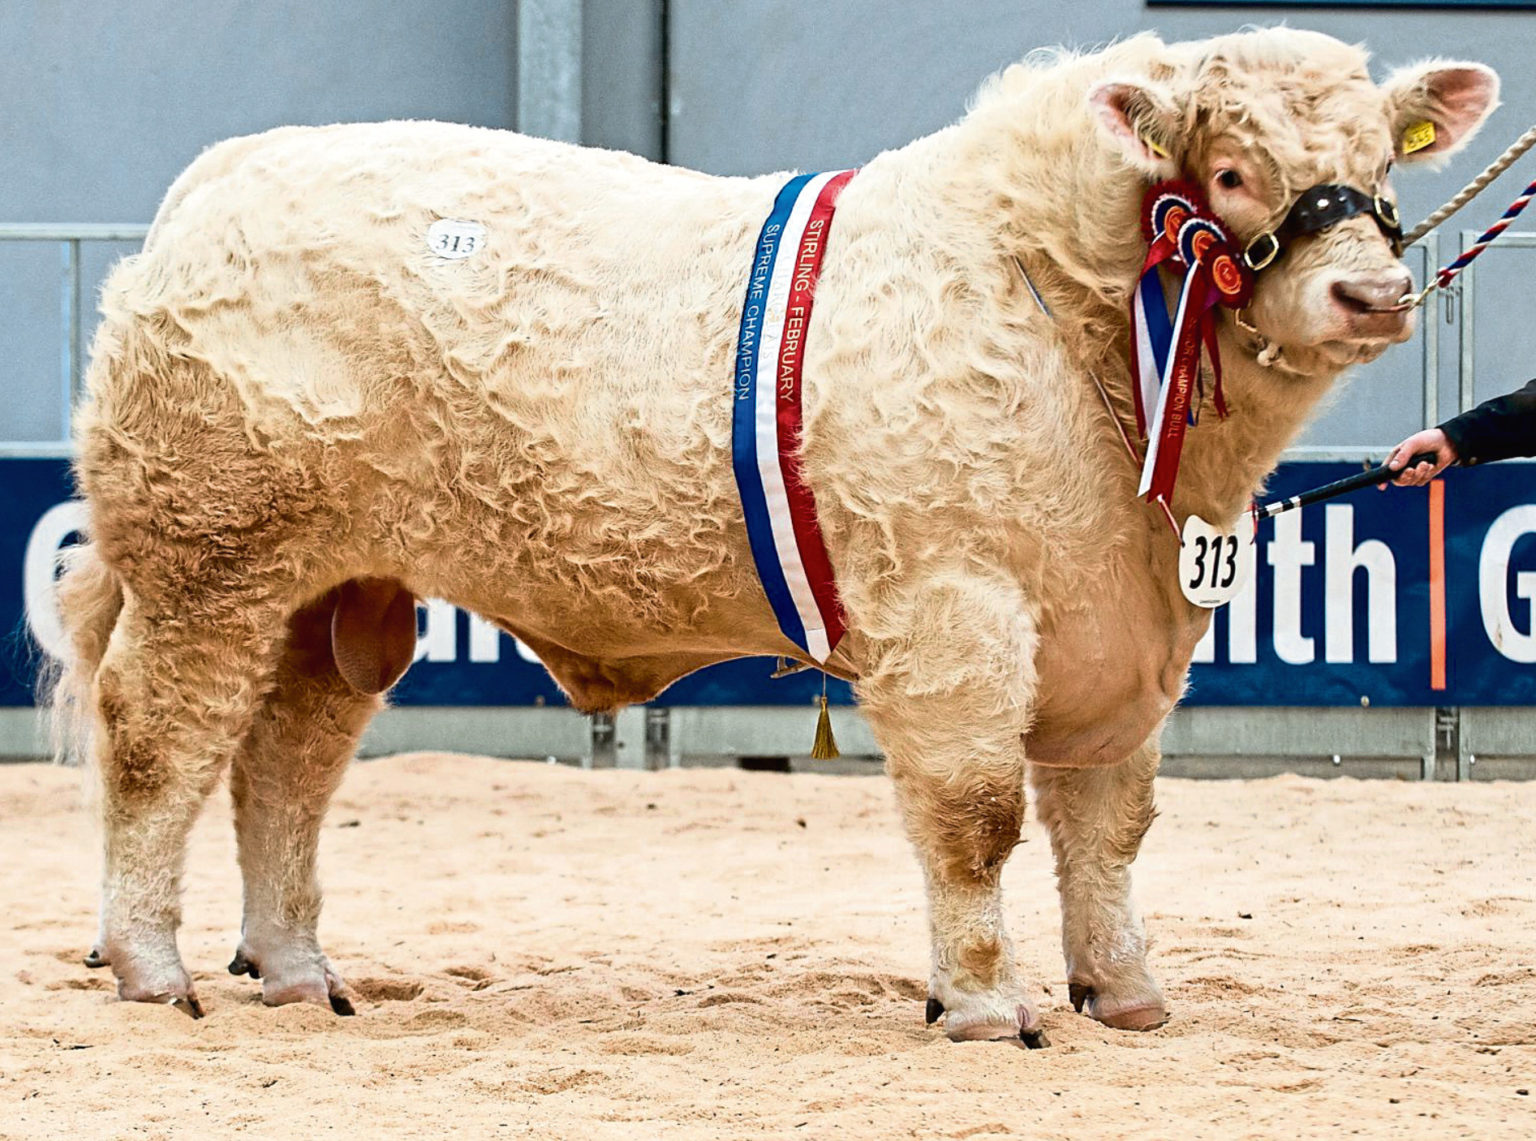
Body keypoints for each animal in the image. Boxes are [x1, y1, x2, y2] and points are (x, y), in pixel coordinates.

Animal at [47, 27, 1496, 1044]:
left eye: (1381, 163)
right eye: (1235, 171)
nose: (1375, 292)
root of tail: (228, 175)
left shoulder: (1119, 631)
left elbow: (1108, 827)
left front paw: (1124, 992)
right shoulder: (952, 609)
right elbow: (977, 816)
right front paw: (985, 1003)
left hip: (338, 592)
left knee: (285, 767)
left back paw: (296, 971)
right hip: (209, 560)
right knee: (158, 739)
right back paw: (153, 966)